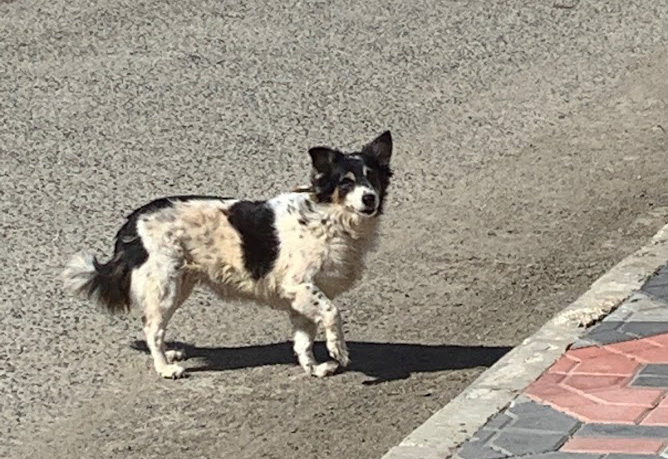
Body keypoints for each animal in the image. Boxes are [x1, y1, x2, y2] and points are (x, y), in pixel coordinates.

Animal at [62, 131, 392, 380]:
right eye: (346, 182)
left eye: (372, 179)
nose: (369, 198)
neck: (329, 218)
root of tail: (134, 220)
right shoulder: (300, 285)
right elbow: (332, 313)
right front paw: (339, 349)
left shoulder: (299, 299)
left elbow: (303, 341)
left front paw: (314, 368)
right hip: (165, 286)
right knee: (151, 329)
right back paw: (165, 368)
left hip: (179, 284)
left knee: (154, 327)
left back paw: (169, 354)